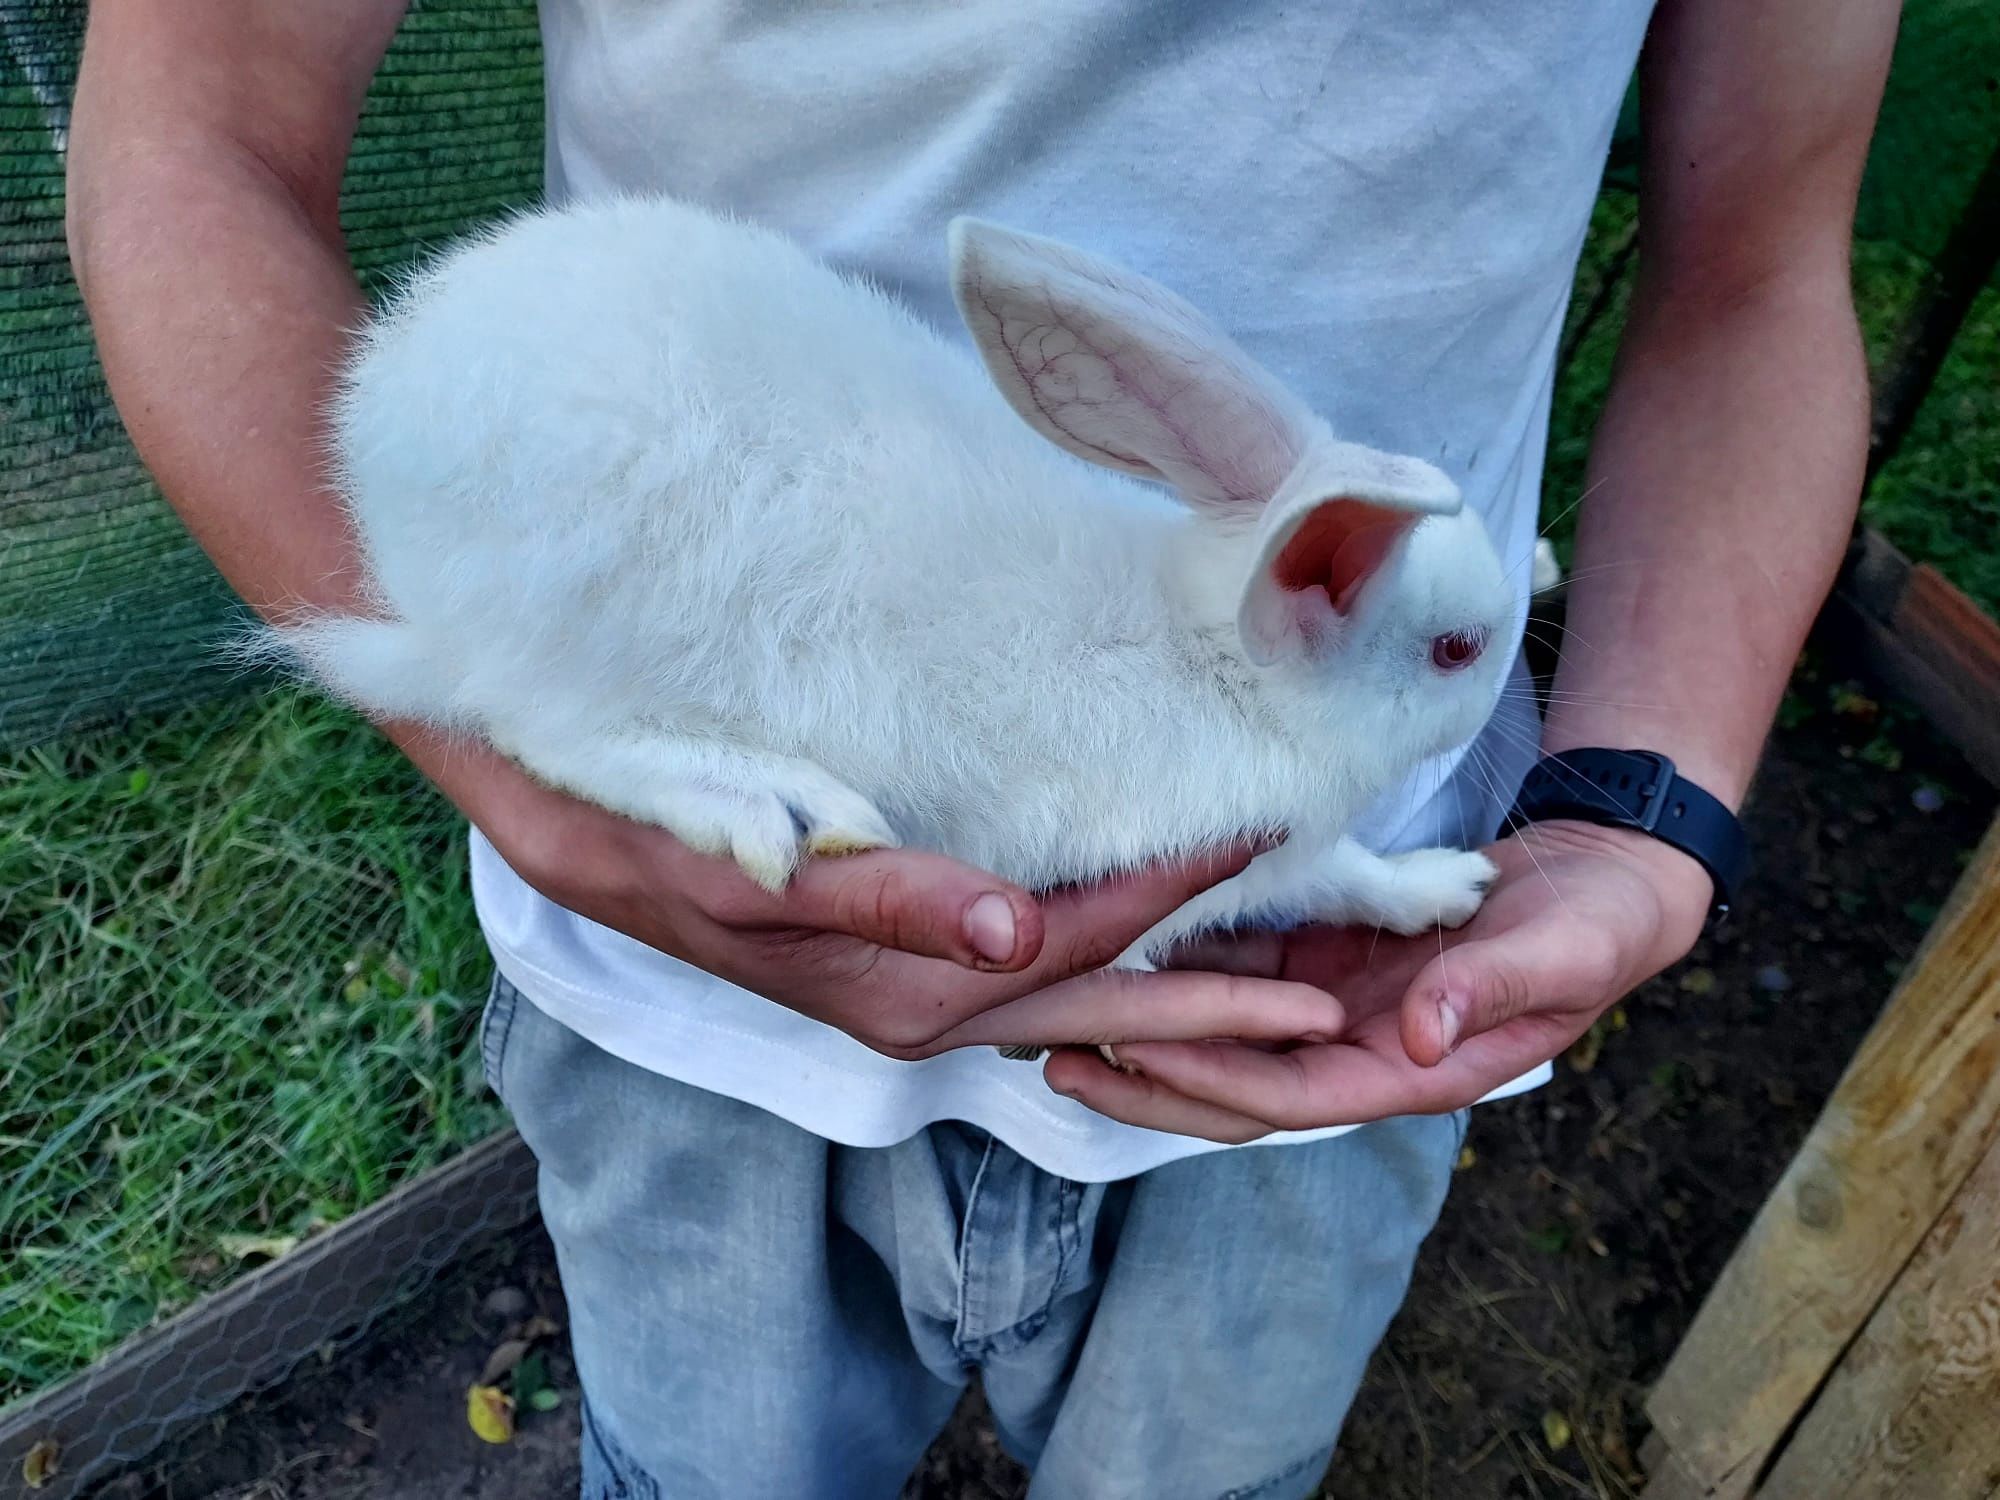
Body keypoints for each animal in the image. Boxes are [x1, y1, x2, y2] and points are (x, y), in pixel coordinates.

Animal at [270, 200, 1512, 1000]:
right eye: (1456, 649)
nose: (1509, 658)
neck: (1215, 659)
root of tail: (382, 437)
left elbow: (1354, 876)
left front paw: (1445, 893)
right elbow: (1326, 874)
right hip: (589, 617)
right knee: (547, 734)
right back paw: (771, 808)